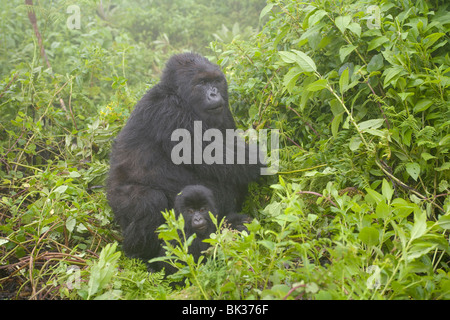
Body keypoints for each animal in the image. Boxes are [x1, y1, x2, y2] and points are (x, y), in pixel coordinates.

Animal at [107, 52, 262, 268]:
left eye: (216, 81)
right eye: (202, 83)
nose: (214, 93)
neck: (179, 95)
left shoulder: (223, 111)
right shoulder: (168, 110)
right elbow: (211, 154)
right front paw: (262, 160)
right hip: (117, 200)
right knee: (149, 201)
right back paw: (142, 257)